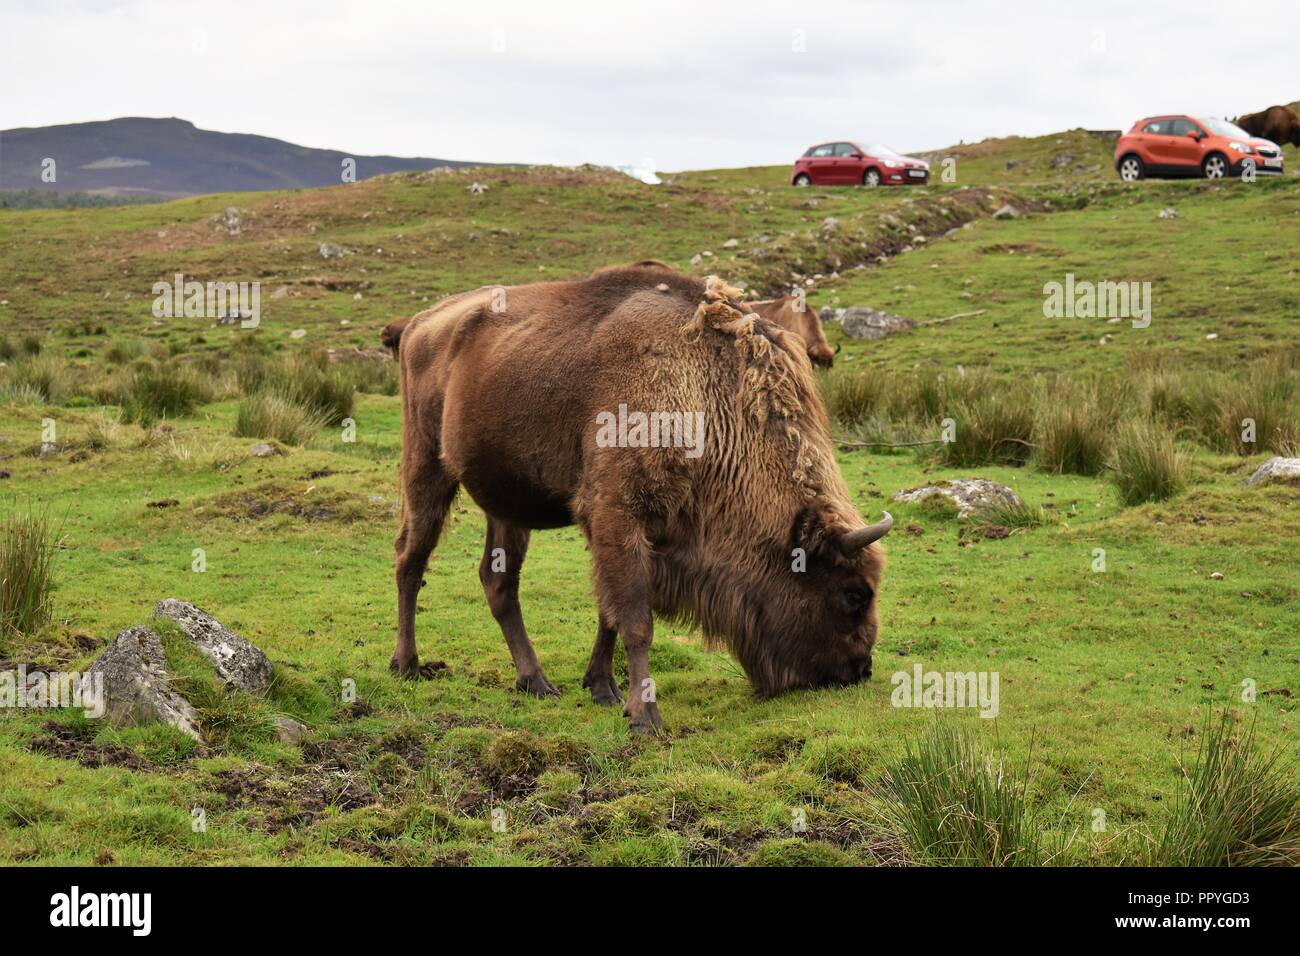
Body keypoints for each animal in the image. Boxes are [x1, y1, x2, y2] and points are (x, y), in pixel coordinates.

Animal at [390, 265, 889, 738]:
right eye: (853, 594)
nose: (860, 669)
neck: (707, 395)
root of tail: (420, 323)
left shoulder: (622, 532)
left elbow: (608, 612)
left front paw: (603, 690)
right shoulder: (617, 514)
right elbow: (635, 620)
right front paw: (645, 717)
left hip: (508, 505)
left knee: (499, 583)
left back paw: (536, 681)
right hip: (426, 470)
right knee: (410, 560)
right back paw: (408, 665)